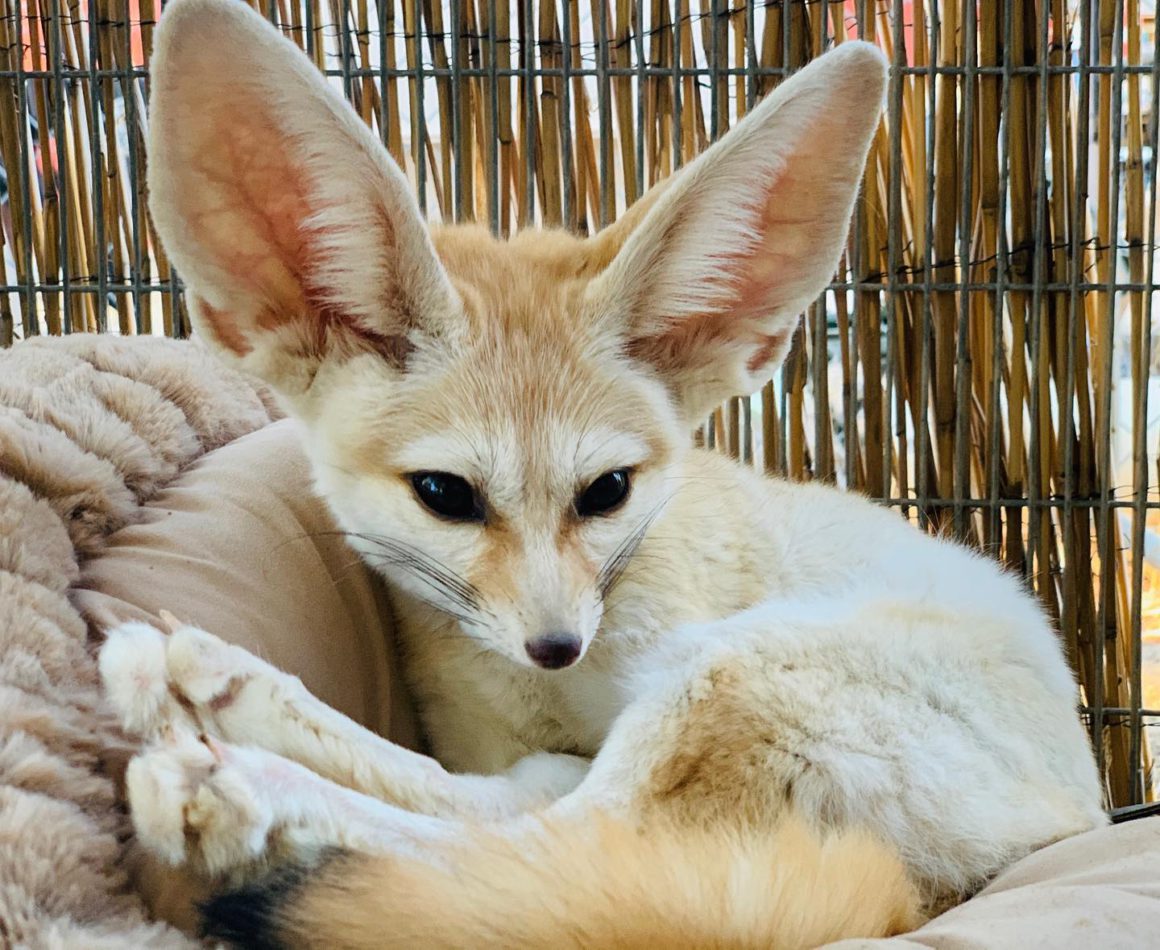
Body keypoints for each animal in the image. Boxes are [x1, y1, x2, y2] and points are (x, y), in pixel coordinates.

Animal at [96, 0, 1107, 946]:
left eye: (607, 492)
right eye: (445, 495)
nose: (557, 643)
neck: (547, 692)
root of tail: (1075, 821)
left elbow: (518, 843)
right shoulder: (505, 734)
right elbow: (475, 784)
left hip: (725, 674)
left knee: (539, 848)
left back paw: (238, 783)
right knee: (511, 821)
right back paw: (219, 688)